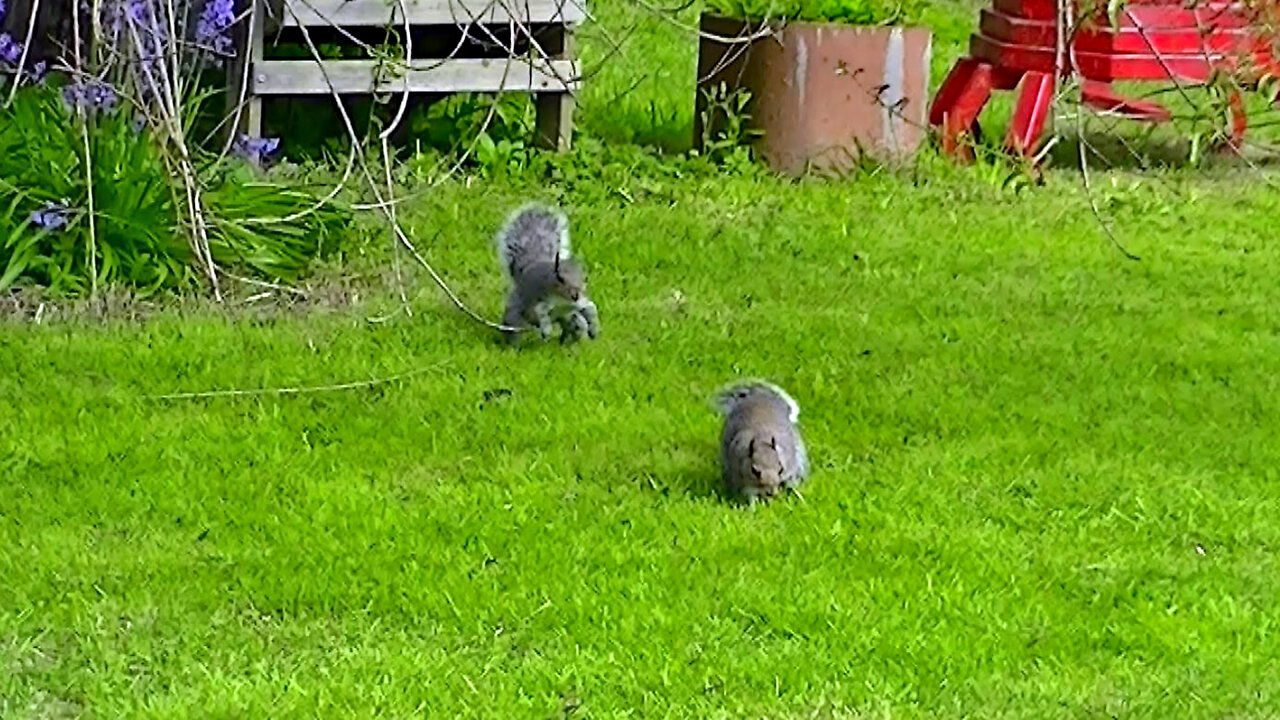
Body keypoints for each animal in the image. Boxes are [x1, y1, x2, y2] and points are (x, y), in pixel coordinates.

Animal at [496, 199, 601, 343]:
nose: (575, 295)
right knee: (513, 327)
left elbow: (590, 307)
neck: (563, 300)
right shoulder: (541, 299)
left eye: (585, 278)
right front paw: (546, 330)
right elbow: (541, 313)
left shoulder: (580, 303)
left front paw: (594, 329)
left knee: (574, 326)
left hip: (570, 319)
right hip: (515, 313)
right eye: (560, 278)